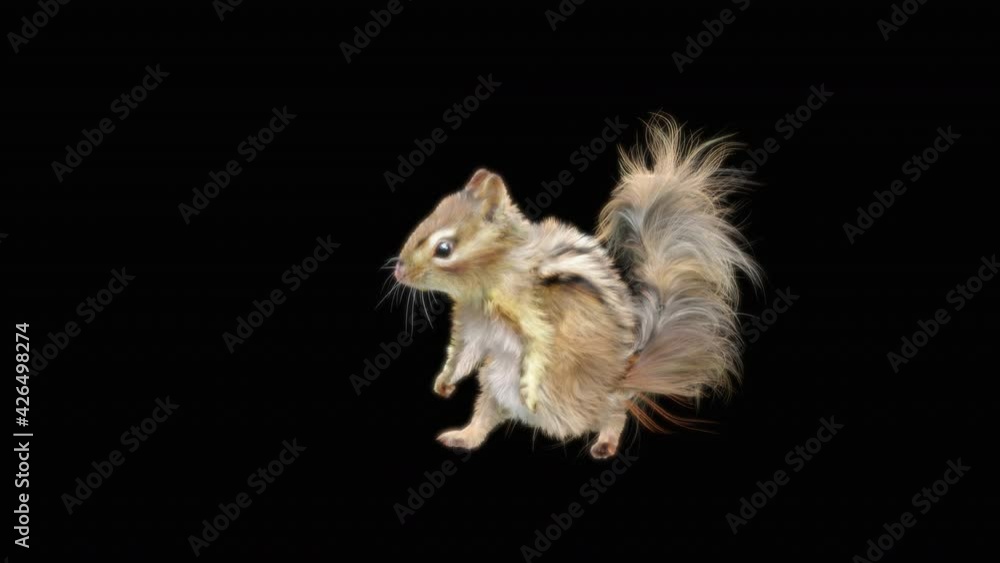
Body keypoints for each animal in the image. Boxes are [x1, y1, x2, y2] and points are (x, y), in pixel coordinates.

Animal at [391, 115, 760, 459]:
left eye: (444, 248)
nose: (398, 271)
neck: (484, 289)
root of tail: (620, 377)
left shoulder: (532, 313)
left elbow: (540, 346)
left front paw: (529, 391)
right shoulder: (471, 326)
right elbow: (462, 354)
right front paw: (443, 383)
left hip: (579, 401)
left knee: (615, 412)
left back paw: (604, 441)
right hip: (494, 384)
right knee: (486, 414)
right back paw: (463, 436)